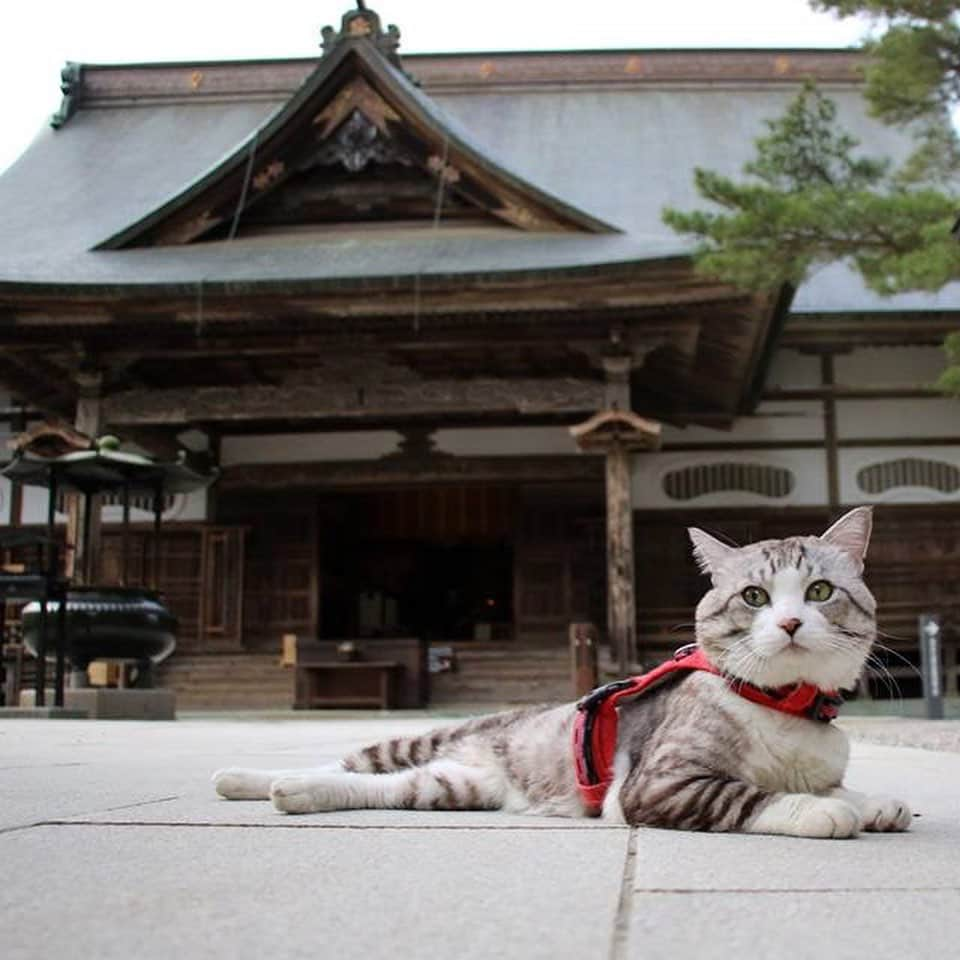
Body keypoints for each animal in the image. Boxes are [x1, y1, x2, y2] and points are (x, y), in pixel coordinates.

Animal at [214, 506, 912, 836]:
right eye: (754, 597)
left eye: (819, 592)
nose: (791, 623)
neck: (785, 707)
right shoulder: (659, 784)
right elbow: (751, 795)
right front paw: (820, 813)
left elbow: (839, 787)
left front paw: (877, 803)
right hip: (428, 738)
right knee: (347, 761)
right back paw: (247, 778)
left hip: (453, 786)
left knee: (383, 787)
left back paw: (291, 793)